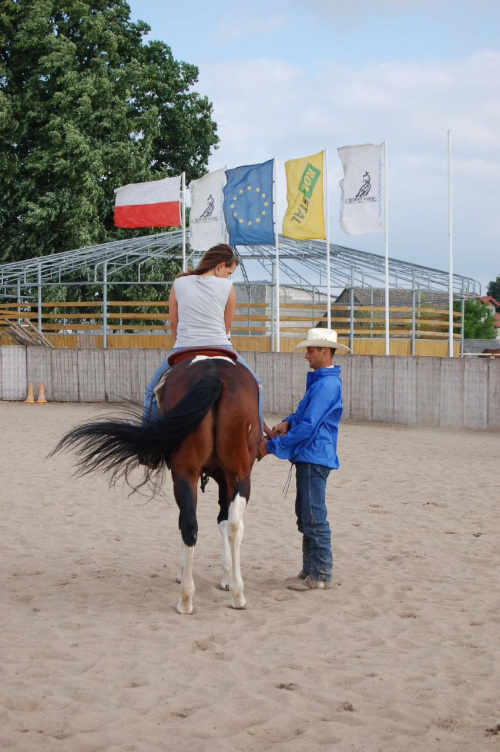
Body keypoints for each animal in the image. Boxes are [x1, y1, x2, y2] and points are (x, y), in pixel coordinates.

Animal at [52, 350, 260, 612]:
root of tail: (213, 372)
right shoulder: (224, 477)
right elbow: (223, 521)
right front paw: (226, 578)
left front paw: (220, 576)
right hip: (230, 473)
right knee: (226, 524)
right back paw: (231, 596)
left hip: (191, 473)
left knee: (189, 523)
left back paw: (187, 598)